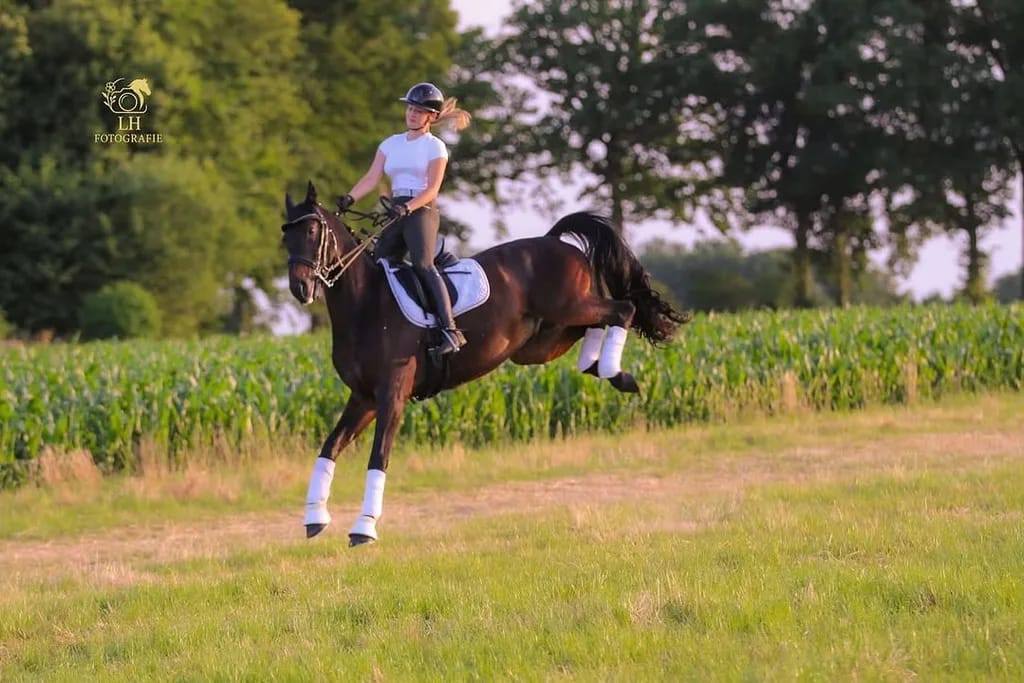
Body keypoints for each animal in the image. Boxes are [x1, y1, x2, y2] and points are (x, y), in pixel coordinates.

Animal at [281, 181, 688, 546]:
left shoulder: (391, 396)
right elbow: (329, 448)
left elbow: (378, 457)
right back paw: (606, 371)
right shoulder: (363, 398)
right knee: (599, 323)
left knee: (623, 309)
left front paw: (364, 528)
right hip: (542, 340)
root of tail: (554, 241)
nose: (300, 288)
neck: (365, 304)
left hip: (569, 308)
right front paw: (314, 518)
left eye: (313, 231)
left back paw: (616, 373)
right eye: (286, 237)